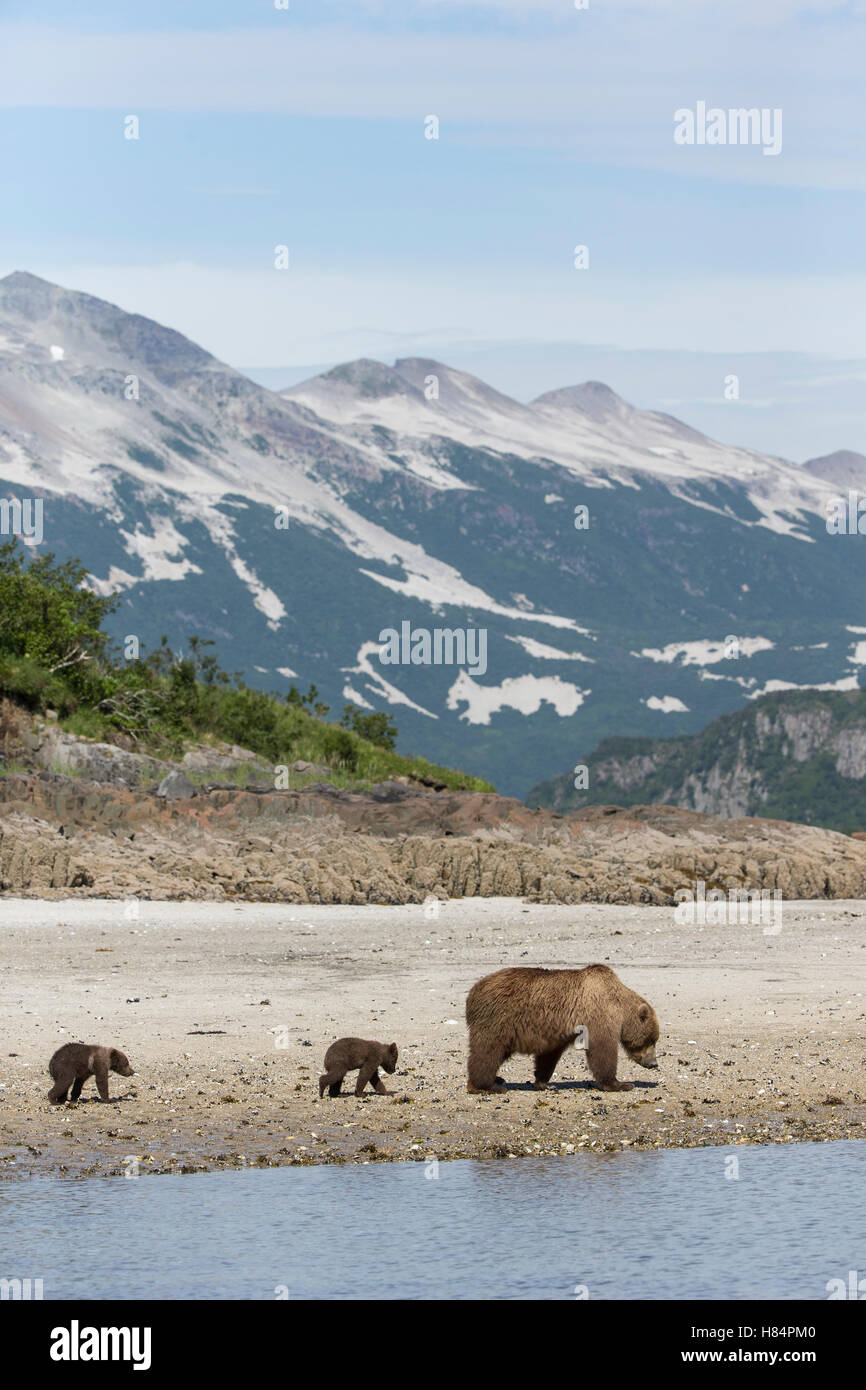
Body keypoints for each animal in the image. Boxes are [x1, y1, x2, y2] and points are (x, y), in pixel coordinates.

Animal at [465, 964, 659, 1093]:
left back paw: (496, 1079)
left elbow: (549, 1056)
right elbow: (602, 1051)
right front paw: (620, 1084)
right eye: (651, 1040)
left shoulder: (560, 1031)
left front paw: (544, 1082)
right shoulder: (598, 1015)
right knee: (487, 1052)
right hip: (498, 1020)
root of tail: (473, 992)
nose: (654, 1063)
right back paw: (486, 1086)